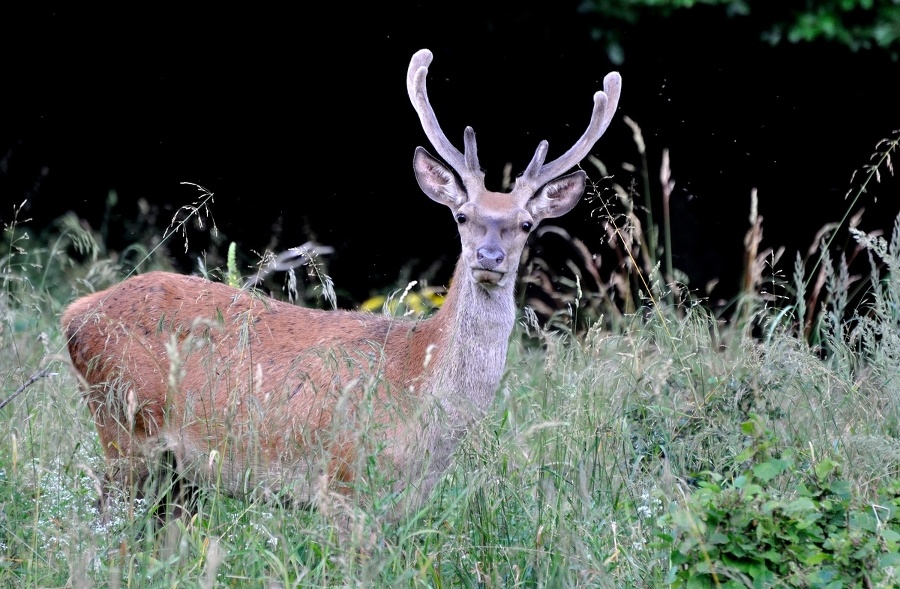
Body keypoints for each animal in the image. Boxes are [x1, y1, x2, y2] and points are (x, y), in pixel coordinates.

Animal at [63, 48, 624, 520]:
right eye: (462, 216)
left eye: (526, 224)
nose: (489, 257)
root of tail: (74, 314)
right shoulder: (343, 480)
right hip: (125, 427)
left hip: (172, 470)